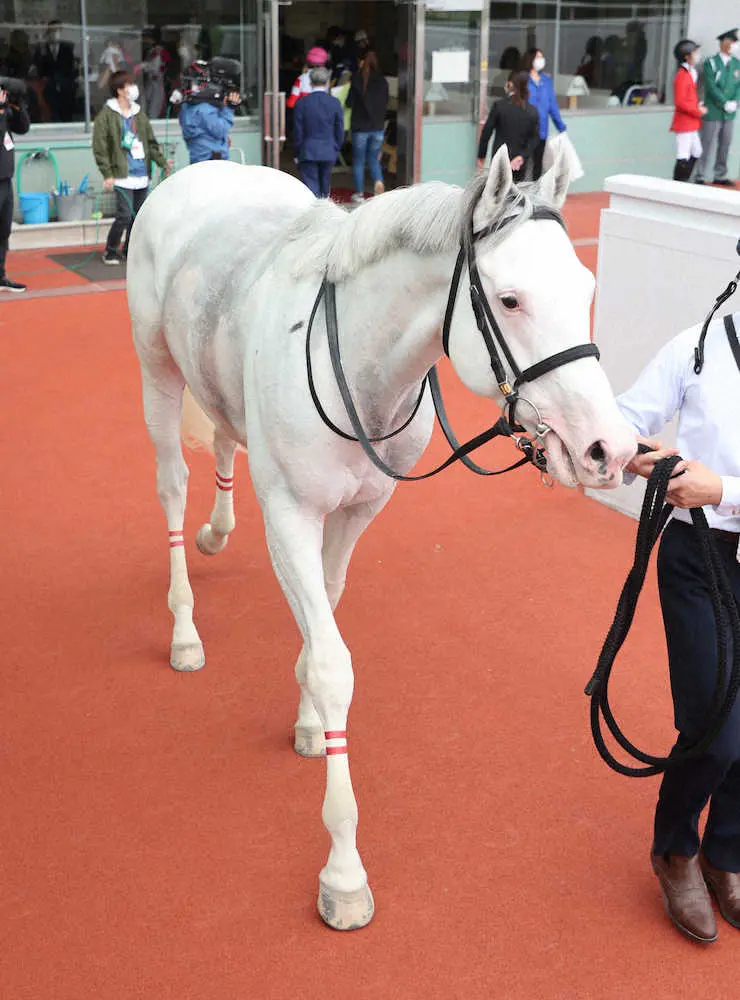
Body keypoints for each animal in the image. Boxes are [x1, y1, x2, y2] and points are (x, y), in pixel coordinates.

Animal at [127, 149, 636, 930]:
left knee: (221, 433)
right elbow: (335, 663)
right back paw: (184, 622)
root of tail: (205, 168)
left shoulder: (362, 507)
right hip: (156, 367)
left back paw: (217, 532)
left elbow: (326, 609)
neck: (361, 377)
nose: (608, 448)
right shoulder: (291, 512)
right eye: (511, 300)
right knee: (172, 485)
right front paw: (343, 871)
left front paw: (308, 714)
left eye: (586, 289)